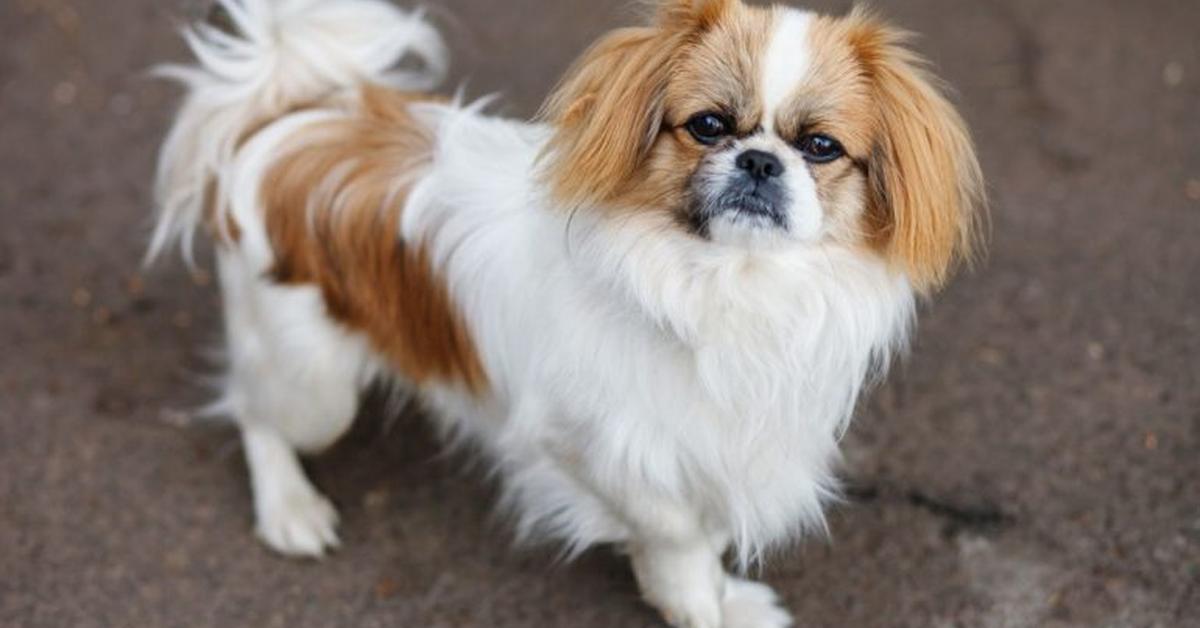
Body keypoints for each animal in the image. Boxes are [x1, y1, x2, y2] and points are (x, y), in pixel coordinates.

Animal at [147, 2, 984, 624]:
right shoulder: (592, 443)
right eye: (709, 126)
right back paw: (290, 509)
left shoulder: (724, 435)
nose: (759, 160)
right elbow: (677, 536)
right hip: (313, 383)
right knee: (256, 418)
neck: (723, 283)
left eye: (820, 147)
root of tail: (285, 118)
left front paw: (729, 600)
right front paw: (694, 603)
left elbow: (711, 524)